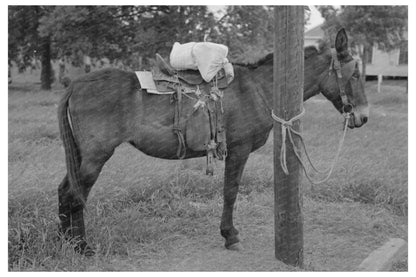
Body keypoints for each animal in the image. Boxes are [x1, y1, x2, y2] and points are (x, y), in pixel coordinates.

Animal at [57, 29, 368, 253]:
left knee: (65, 191)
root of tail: (76, 84)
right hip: (95, 157)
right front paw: (230, 235)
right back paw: (81, 246)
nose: (363, 117)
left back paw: (65, 241)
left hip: (82, 156)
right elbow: (230, 192)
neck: (259, 88)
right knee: (74, 195)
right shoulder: (238, 151)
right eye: (354, 74)